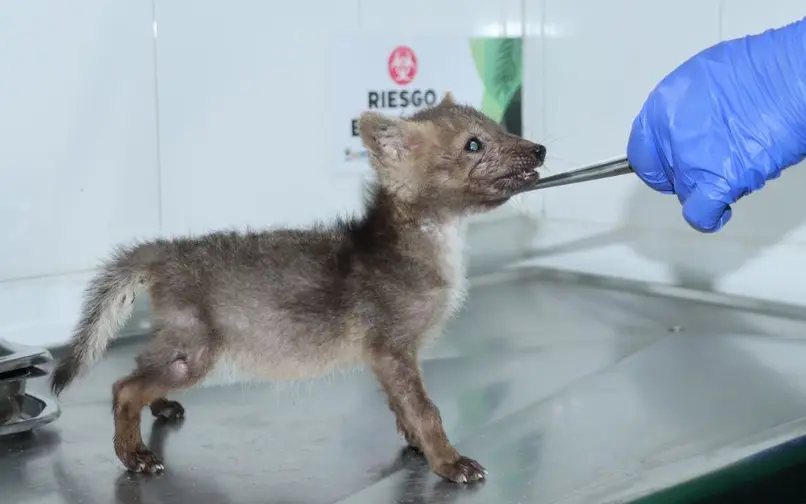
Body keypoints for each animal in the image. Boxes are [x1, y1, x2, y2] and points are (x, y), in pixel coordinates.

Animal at [49, 92, 546, 484]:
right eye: (473, 144)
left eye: (500, 126)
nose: (540, 149)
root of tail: (166, 250)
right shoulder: (392, 348)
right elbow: (427, 411)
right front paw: (450, 462)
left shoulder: (386, 359)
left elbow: (402, 408)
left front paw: (418, 447)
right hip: (195, 355)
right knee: (123, 388)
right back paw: (134, 455)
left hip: (177, 347)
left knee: (138, 369)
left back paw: (162, 407)